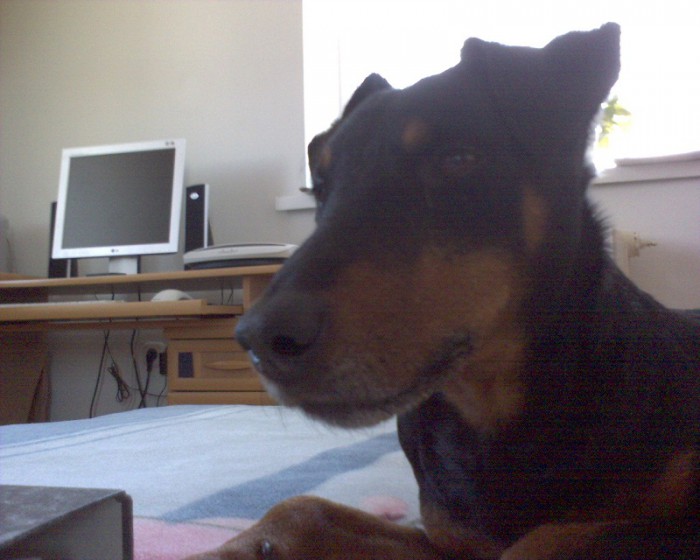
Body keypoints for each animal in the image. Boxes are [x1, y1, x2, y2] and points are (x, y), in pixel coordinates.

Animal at [191, 23, 699, 559]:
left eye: (457, 159)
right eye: (322, 187)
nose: (260, 339)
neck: (491, 415)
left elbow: (550, 539)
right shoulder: (446, 539)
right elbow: (300, 506)